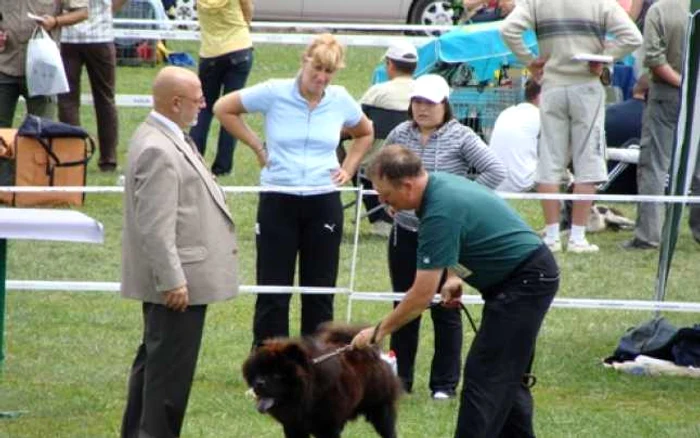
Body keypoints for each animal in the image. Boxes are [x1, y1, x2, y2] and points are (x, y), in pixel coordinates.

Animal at [242, 324, 402, 436]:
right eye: (259, 372)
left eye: (276, 374)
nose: (258, 383)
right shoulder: (293, 426)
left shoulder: (328, 427)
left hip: (381, 410)